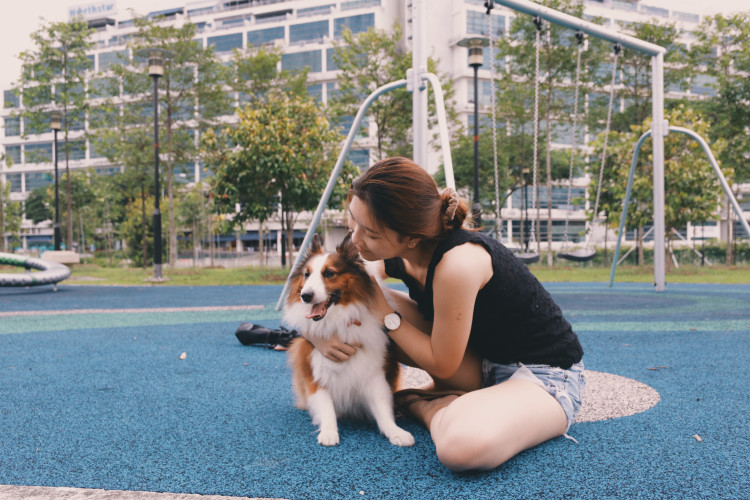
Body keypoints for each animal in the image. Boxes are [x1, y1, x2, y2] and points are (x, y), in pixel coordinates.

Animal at [284, 232, 418, 448]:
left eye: (329, 273)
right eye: (306, 274)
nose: (306, 296)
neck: (338, 319)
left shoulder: (374, 374)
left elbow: (382, 408)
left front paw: (395, 431)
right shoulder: (316, 374)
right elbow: (326, 407)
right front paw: (329, 432)